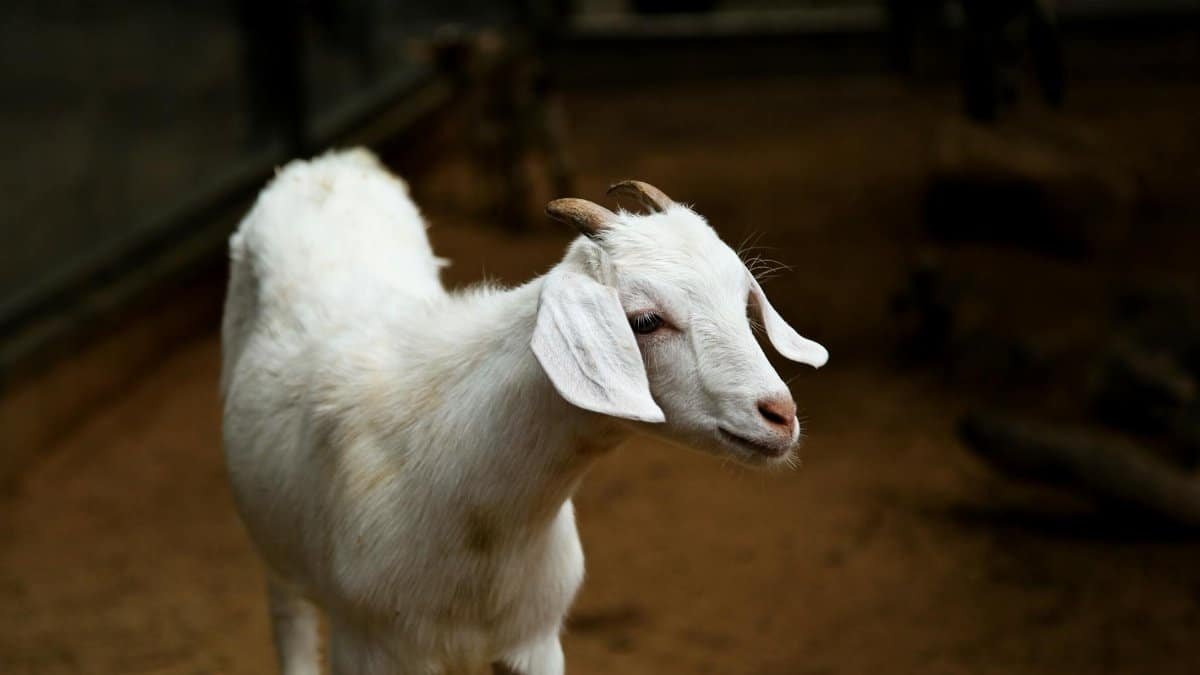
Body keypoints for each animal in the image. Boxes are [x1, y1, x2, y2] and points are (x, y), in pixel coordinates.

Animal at [221, 148, 828, 675]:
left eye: (743, 300)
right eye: (645, 321)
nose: (779, 415)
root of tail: (329, 163)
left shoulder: (535, 642)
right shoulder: (371, 647)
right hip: (276, 553)